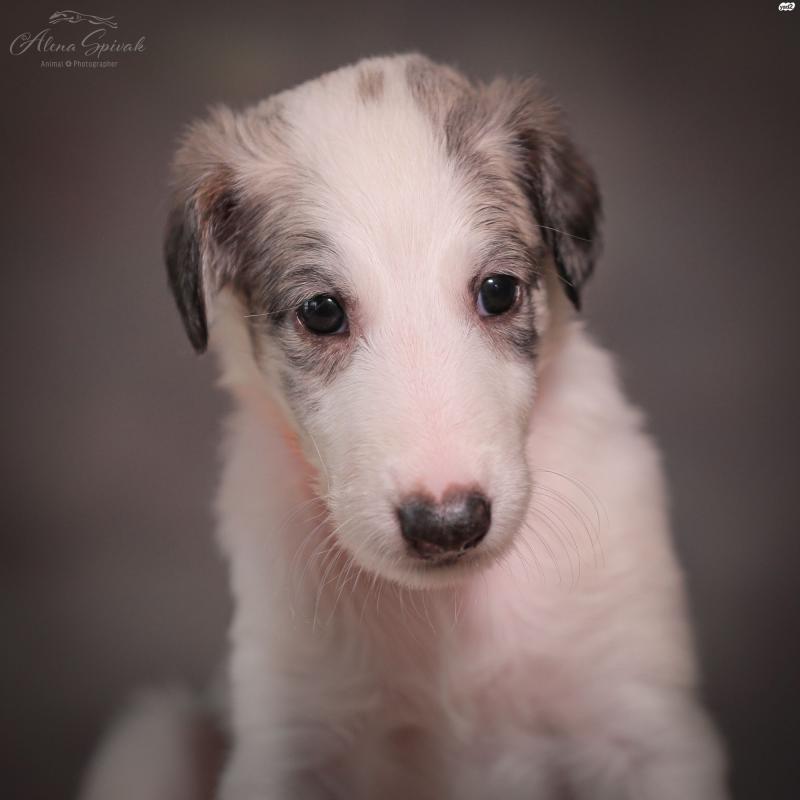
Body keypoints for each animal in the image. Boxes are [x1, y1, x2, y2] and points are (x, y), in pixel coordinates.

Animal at [81, 54, 727, 800]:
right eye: (322, 311)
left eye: (498, 291)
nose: (446, 524)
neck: (448, 615)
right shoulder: (292, 737)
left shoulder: (641, 722)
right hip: (149, 738)